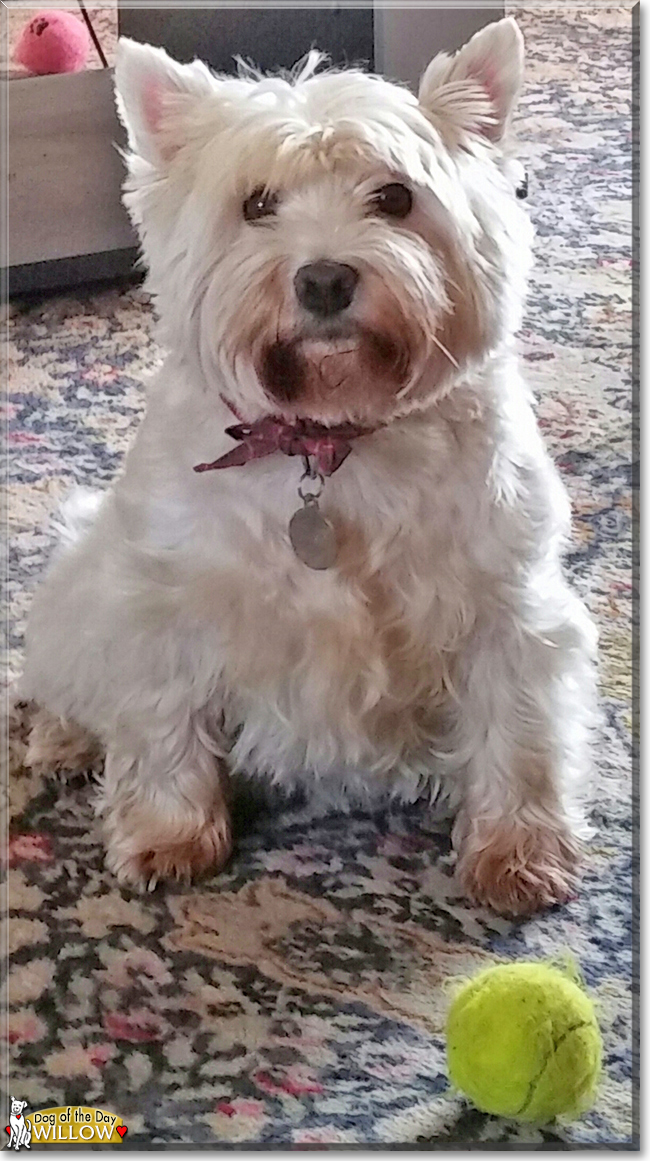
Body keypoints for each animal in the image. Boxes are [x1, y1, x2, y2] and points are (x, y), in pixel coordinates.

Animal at [22, 13, 598, 910]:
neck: (327, 440)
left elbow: (522, 731)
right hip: (84, 582)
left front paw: (518, 853)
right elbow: (162, 720)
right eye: (256, 204)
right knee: (65, 674)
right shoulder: (165, 608)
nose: (325, 278)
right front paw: (167, 835)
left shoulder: (508, 607)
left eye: (396, 197)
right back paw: (62, 741)